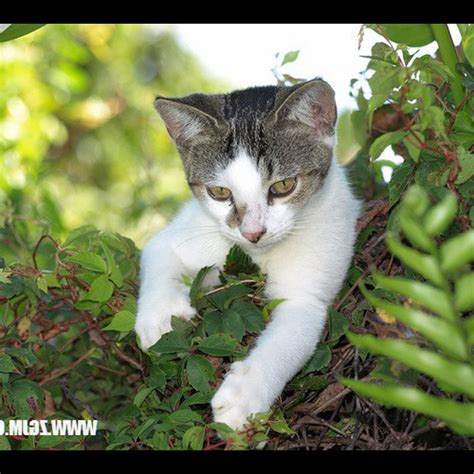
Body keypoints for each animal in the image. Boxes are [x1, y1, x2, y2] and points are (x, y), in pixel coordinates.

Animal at [135, 77, 362, 430]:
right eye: (218, 192)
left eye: (283, 185)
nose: (252, 233)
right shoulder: (187, 231)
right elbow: (158, 252)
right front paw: (160, 315)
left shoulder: (308, 293)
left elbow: (288, 338)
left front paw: (244, 395)